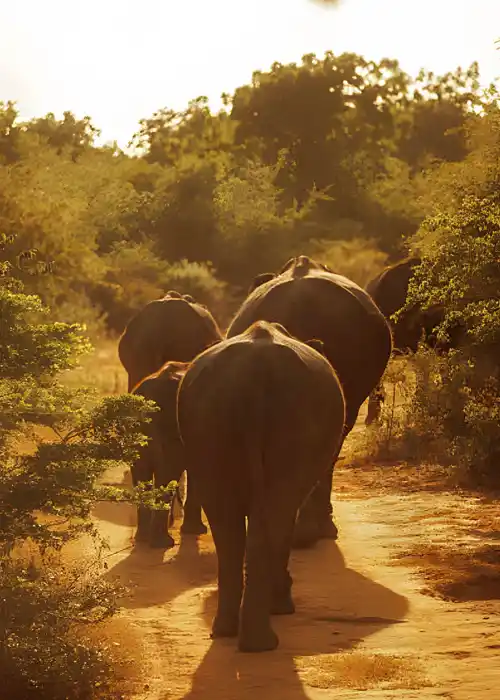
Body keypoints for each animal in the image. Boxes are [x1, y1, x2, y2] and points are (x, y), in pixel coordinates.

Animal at [177, 320, 346, 652]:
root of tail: (255, 375)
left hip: (210, 423)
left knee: (228, 521)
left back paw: (229, 632)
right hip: (294, 421)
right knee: (275, 512)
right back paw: (263, 639)